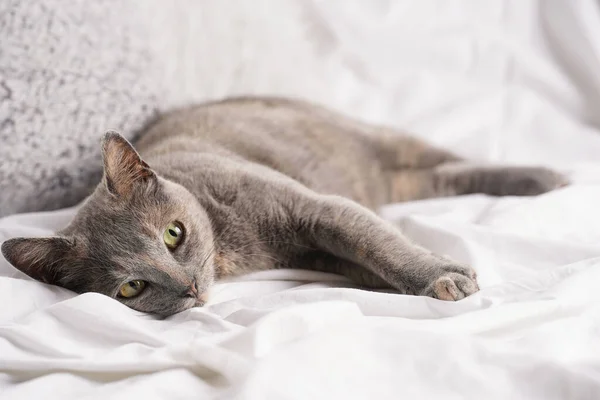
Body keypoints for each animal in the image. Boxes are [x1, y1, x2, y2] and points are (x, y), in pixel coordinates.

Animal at [0, 96, 568, 316]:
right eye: (132, 288)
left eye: (172, 234)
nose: (188, 287)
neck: (231, 250)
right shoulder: (319, 249)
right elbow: (368, 257)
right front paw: (429, 278)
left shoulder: (319, 209)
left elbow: (378, 241)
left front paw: (442, 276)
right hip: (398, 181)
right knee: (439, 178)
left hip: (382, 138)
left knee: (452, 158)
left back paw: (550, 176)